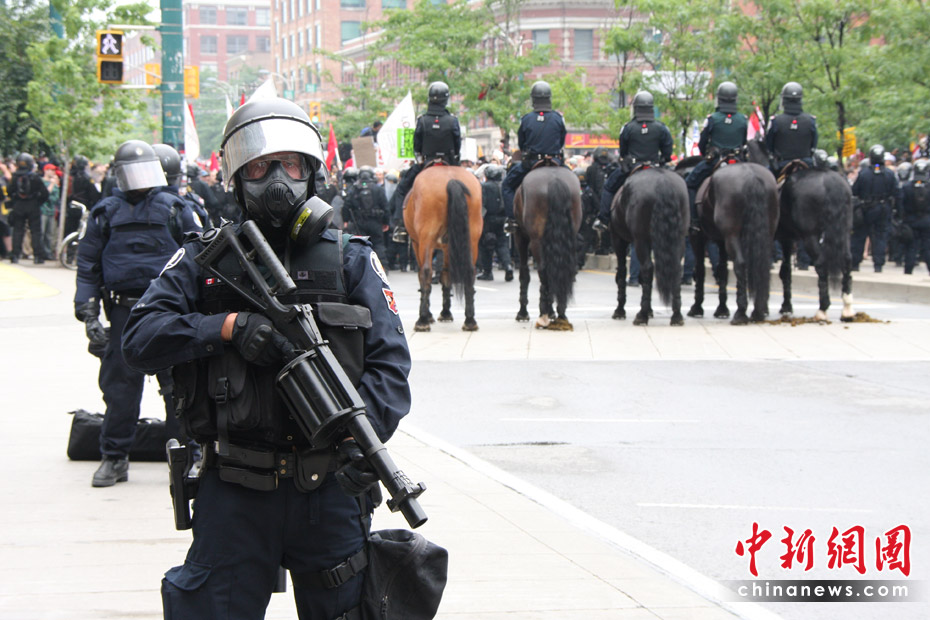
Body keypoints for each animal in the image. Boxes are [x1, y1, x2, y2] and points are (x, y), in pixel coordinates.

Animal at [403, 164, 483, 331]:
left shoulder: (416, 242)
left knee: (426, 271)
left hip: (426, 238)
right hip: (472, 238)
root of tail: (451, 180)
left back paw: (422, 320)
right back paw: (470, 320)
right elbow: (446, 275)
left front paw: (429, 314)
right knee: (470, 271)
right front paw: (446, 312)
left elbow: (424, 274)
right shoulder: (448, 247)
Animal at [513, 163, 583, 330]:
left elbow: (524, 274)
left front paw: (523, 313)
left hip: (536, 241)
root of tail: (555, 181)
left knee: (544, 271)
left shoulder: (520, 236)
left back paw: (543, 315)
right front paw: (552, 311)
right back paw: (561, 313)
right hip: (569, 238)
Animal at [609, 165, 690, 325]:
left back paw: (642, 315)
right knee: (676, 269)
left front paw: (620, 310)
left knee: (647, 268)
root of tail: (663, 182)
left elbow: (622, 273)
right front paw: (650, 310)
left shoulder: (619, 239)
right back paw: (676, 315)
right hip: (678, 239)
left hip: (640, 239)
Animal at [685, 153, 780, 325]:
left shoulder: (698, 238)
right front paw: (722, 309)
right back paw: (758, 311)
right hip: (766, 234)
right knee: (761, 264)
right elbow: (722, 270)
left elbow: (701, 270)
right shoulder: (721, 242)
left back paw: (741, 312)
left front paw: (697, 307)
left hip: (732, 235)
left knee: (741, 263)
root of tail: (752, 177)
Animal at [746, 140, 855, 321]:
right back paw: (847, 308)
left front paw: (765, 307)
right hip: (843, 232)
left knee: (821, 263)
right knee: (846, 261)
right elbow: (786, 272)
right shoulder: (787, 239)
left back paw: (823, 308)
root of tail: (829, 181)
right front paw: (786, 306)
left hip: (810, 236)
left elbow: (767, 268)